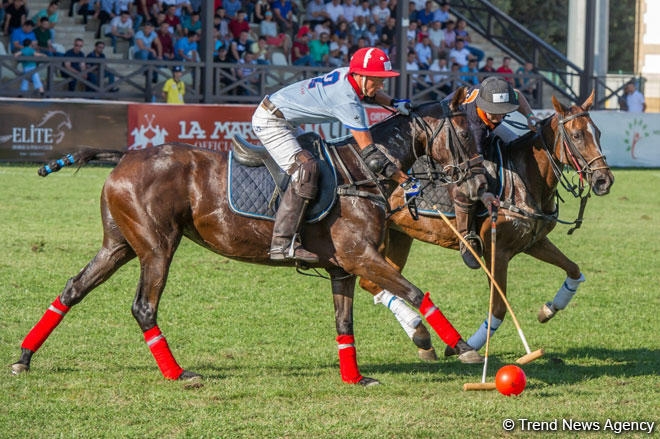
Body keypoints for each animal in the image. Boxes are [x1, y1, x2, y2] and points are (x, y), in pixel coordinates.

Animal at [10, 92, 488, 384]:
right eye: (466, 133)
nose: (480, 183)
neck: (360, 173)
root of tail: (125, 154)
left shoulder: (343, 268)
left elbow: (344, 323)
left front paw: (354, 377)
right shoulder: (360, 256)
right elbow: (416, 291)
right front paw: (462, 346)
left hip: (119, 244)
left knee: (72, 290)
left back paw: (23, 358)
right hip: (157, 246)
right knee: (143, 307)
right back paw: (178, 374)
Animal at [360, 91, 612, 360]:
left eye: (598, 133)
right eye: (577, 136)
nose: (604, 180)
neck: (524, 178)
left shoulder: (533, 242)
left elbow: (574, 269)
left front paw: (548, 310)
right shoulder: (496, 251)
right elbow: (499, 308)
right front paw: (467, 346)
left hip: (400, 236)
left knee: (373, 282)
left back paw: (422, 341)